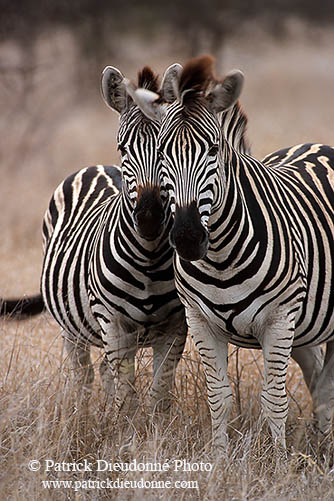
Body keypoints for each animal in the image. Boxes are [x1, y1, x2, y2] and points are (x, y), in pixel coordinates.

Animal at [39, 63, 189, 414]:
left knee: (104, 373)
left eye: (165, 147)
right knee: (83, 375)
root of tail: (96, 166)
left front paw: (154, 427)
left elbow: (159, 394)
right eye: (123, 147)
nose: (149, 217)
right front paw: (127, 428)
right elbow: (129, 397)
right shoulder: (114, 323)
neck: (149, 259)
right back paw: (83, 415)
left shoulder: (176, 326)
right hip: (72, 327)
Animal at [130, 56, 334, 452]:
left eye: (213, 149)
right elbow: (219, 398)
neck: (222, 258)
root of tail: (317, 145)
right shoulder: (200, 321)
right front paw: (220, 458)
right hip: (306, 326)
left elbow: (274, 400)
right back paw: (320, 443)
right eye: (162, 153)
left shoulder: (279, 320)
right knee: (320, 382)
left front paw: (279, 460)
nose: (188, 238)